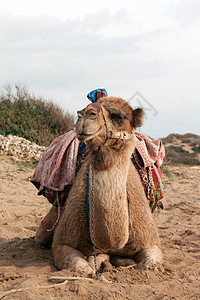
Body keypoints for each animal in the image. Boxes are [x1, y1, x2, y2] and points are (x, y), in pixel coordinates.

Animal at [50, 94, 162, 274]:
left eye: (118, 116)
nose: (85, 114)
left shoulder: (151, 241)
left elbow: (149, 265)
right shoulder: (62, 242)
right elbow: (83, 268)